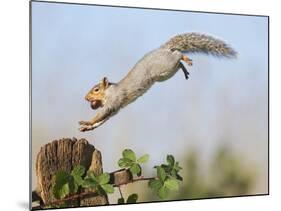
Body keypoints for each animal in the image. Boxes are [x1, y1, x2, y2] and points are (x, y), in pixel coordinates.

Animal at [77, 32, 235, 131]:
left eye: (96, 89)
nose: (85, 98)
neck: (109, 92)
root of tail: (162, 49)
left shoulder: (113, 101)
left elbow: (101, 114)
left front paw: (87, 122)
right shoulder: (115, 109)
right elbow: (102, 120)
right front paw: (87, 127)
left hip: (165, 66)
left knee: (178, 55)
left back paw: (186, 59)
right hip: (167, 73)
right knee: (178, 62)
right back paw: (184, 68)